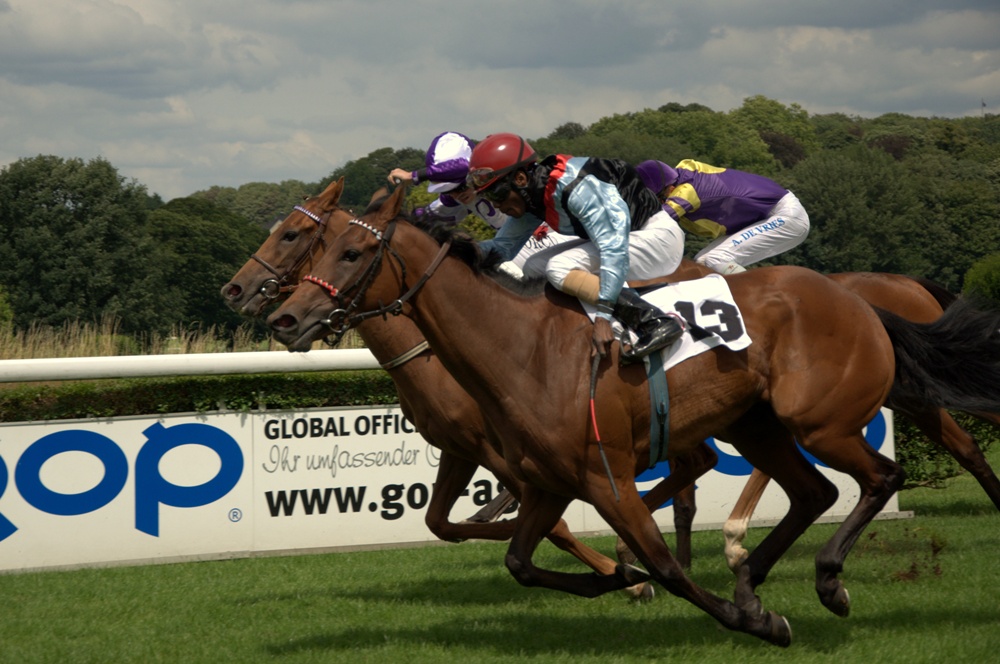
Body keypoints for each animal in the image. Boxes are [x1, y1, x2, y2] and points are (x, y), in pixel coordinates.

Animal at [221, 179, 656, 600]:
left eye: (291, 234)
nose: (235, 290)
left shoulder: (499, 450)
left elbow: (556, 525)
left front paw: (631, 577)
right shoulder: (459, 446)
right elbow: (439, 522)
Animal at [268, 184, 1000, 644]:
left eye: (350, 252)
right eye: (315, 248)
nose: (285, 319)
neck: (523, 348)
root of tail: (857, 298)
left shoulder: (606, 475)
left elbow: (666, 565)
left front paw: (746, 619)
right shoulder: (547, 479)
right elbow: (519, 560)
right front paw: (620, 577)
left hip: (818, 419)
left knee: (879, 477)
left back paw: (819, 583)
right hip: (756, 424)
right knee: (815, 491)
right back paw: (751, 578)